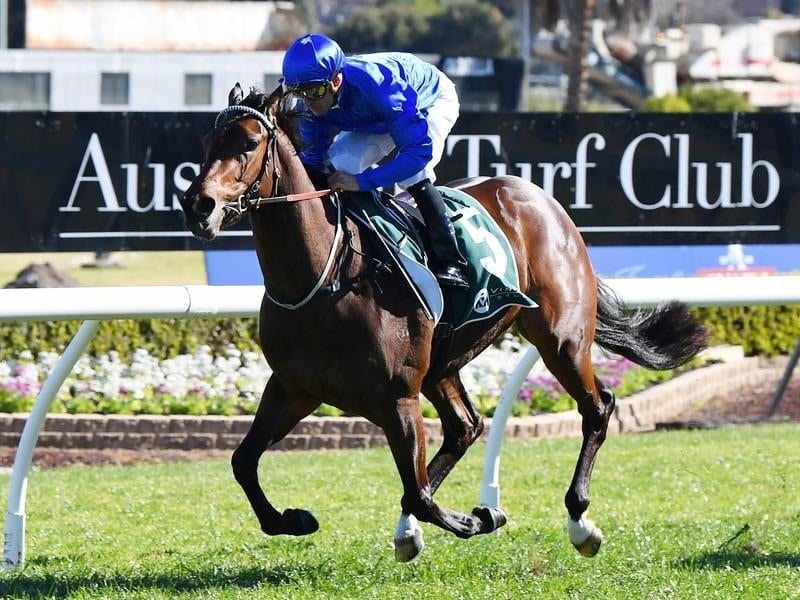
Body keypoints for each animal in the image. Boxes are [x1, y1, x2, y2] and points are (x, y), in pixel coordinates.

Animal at [181, 84, 708, 564]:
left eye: (249, 142)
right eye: (207, 141)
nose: (198, 205)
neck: (324, 278)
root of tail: (539, 197)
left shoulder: (396, 396)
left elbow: (418, 493)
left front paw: (479, 517)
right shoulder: (294, 387)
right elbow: (243, 462)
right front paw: (293, 519)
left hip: (560, 338)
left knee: (596, 407)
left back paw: (580, 522)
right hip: (444, 360)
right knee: (466, 427)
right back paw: (410, 531)